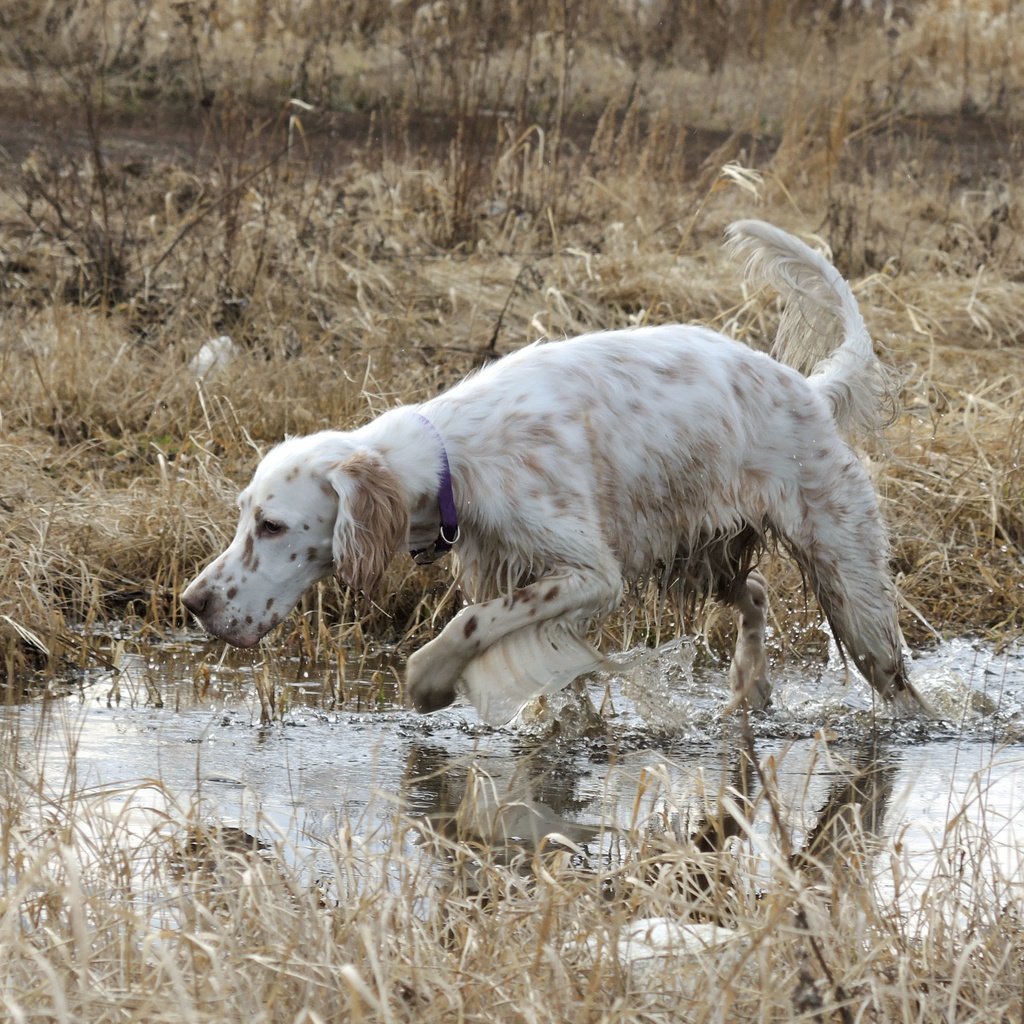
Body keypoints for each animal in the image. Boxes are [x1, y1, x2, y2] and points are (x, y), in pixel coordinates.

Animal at [184, 220, 929, 724]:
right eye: (244, 515)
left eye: (273, 526)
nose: (193, 603)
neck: (455, 459)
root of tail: (812, 391)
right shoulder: (516, 569)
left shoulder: (589, 574)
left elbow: (473, 622)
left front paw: (429, 679)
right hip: (701, 557)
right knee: (757, 594)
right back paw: (750, 689)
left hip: (848, 582)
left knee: (892, 675)